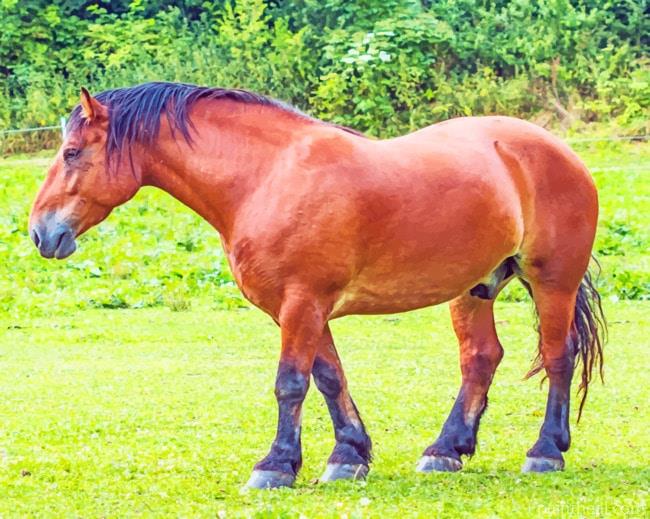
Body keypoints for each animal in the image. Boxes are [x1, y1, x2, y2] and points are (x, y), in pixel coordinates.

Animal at [29, 82, 605, 489]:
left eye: (73, 153)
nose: (41, 232)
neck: (266, 178)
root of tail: (556, 149)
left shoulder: (302, 304)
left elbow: (291, 383)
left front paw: (276, 465)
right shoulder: (302, 308)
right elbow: (329, 378)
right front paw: (348, 455)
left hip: (552, 281)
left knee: (558, 355)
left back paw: (545, 451)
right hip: (473, 289)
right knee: (480, 358)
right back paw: (446, 450)